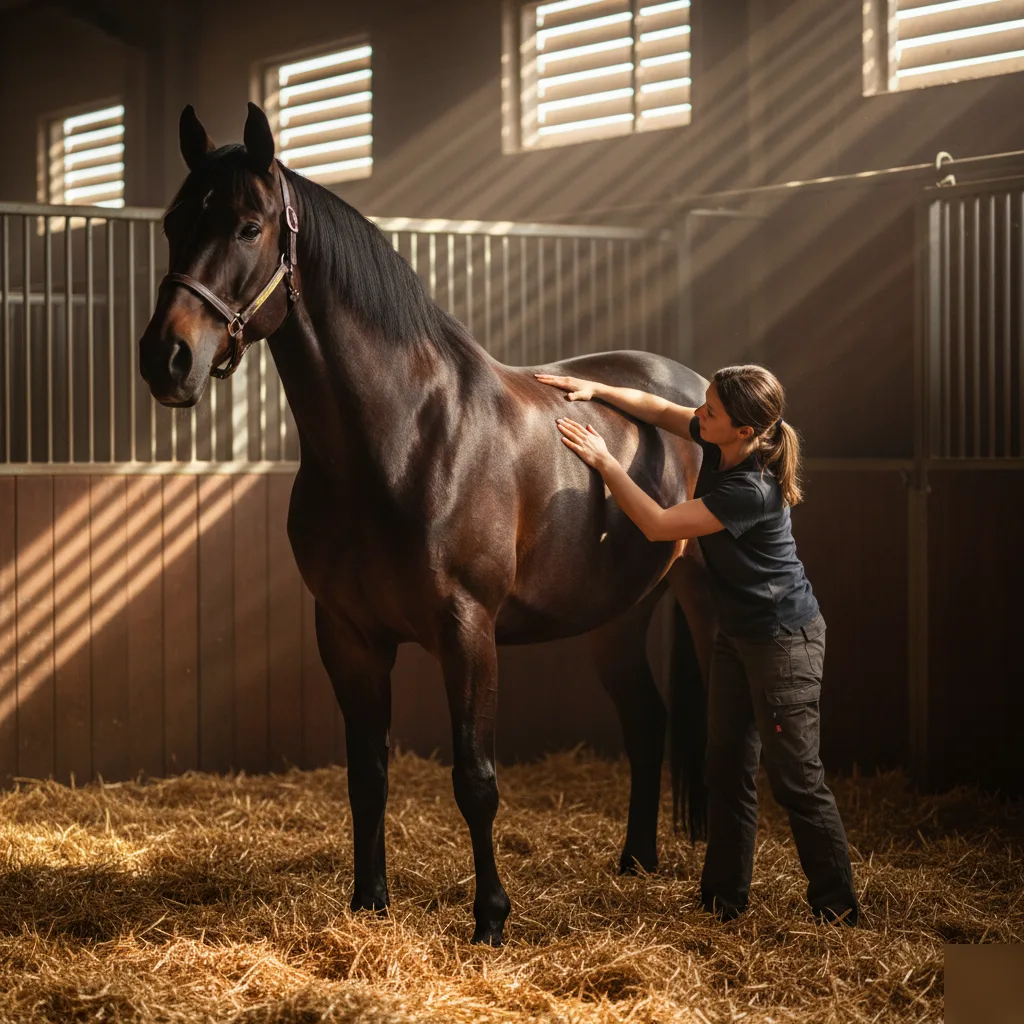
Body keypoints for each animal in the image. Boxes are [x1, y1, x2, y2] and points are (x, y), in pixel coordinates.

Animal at [138, 102, 717, 946]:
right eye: (175, 222)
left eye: (248, 226)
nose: (167, 358)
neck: (404, 437)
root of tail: (695, 389)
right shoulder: (347, 634)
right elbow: (367, 775)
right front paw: (368, 902)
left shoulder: (467, 630)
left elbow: (475, 779)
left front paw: (491, 920)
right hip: (618, 617)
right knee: (646, 722)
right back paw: (636, 861)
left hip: (706, 605)